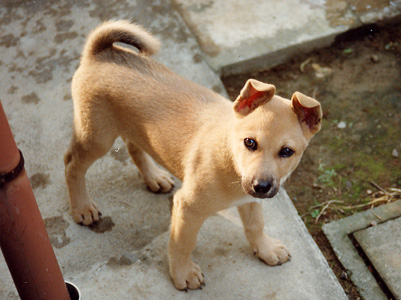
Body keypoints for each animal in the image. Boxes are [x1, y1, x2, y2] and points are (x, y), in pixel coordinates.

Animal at [65, 20, 322, 290]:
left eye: (287, 151)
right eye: (250, 142)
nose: (261, 186)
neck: (229, 158)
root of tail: (100, 53)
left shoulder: (249, 199)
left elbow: (255, 225)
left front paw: (265, 248)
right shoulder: (188, 207)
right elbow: (182, 243)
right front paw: (183, 273)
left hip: (129, 127)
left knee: (133, 146)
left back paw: (153, 177)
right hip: (96, 137)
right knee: (72, 164)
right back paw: (82, 207)